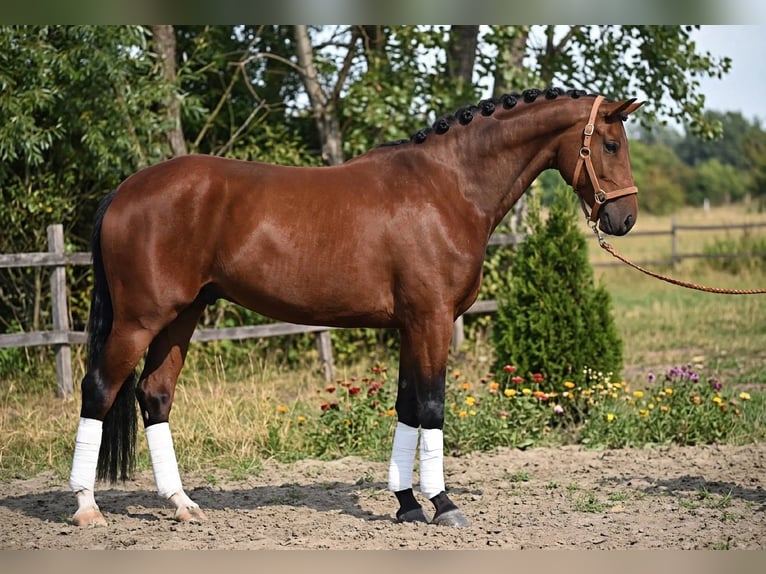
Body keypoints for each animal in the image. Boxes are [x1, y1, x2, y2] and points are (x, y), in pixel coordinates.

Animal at [68, 87, 643, 528]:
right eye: (611, 143)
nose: (625, 219)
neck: (448, 187)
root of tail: (126, 190)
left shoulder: (412, 325)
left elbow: (407, 406)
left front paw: (407, 504)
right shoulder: (431, 320)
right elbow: (432, 407)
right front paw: (443, 504)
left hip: (181, 317)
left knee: (154, 395)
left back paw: (183, 504)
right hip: (140, 319)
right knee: (99, 390)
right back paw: (87, 508)